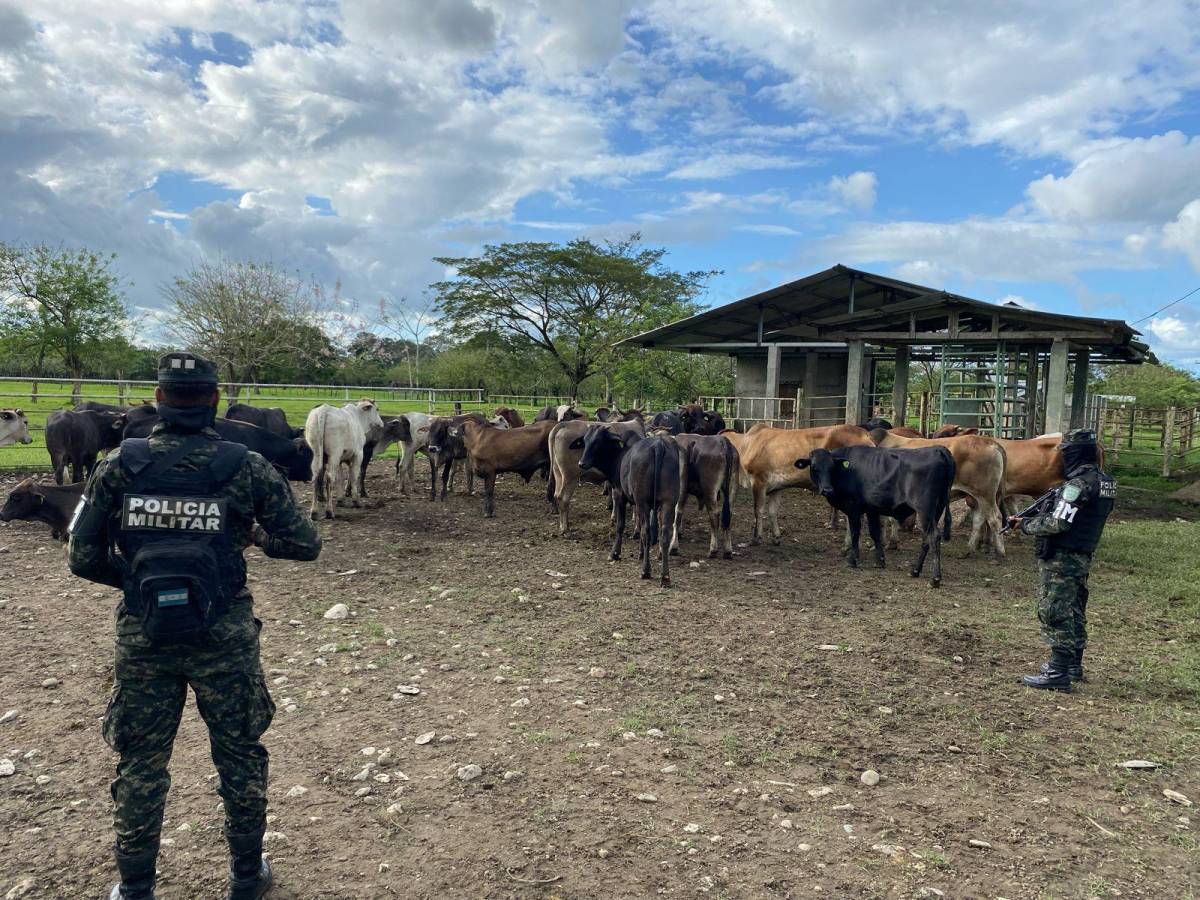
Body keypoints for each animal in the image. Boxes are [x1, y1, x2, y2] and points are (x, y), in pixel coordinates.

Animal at [710, 427, 873, 547]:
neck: (746, 444)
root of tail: (865, 434)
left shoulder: (758, 482)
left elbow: (758, 511)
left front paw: (756, 538)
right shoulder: (775, 488)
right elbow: (772, 511)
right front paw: (776, 537)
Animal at [796, 446, 955, 588]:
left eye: (831, 468)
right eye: (814, 468)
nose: (827, 490)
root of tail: (938, 449)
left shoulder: (853, 508)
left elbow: (855, 532)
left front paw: (853, 560)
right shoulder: (871, 509)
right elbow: (875, 533)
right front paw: (880, 560)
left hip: (925, 509)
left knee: (934, 536)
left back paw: (935, 579)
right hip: (937, 510)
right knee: (926, 538)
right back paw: (915, 571)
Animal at [868, 432, 1008, 556]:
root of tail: (991, 442)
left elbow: (888, 519)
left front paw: (889, 543)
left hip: (985, 494)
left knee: (995, 518)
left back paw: (1000, 551)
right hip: (976, 496)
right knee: (979, 519)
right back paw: (969, 549)